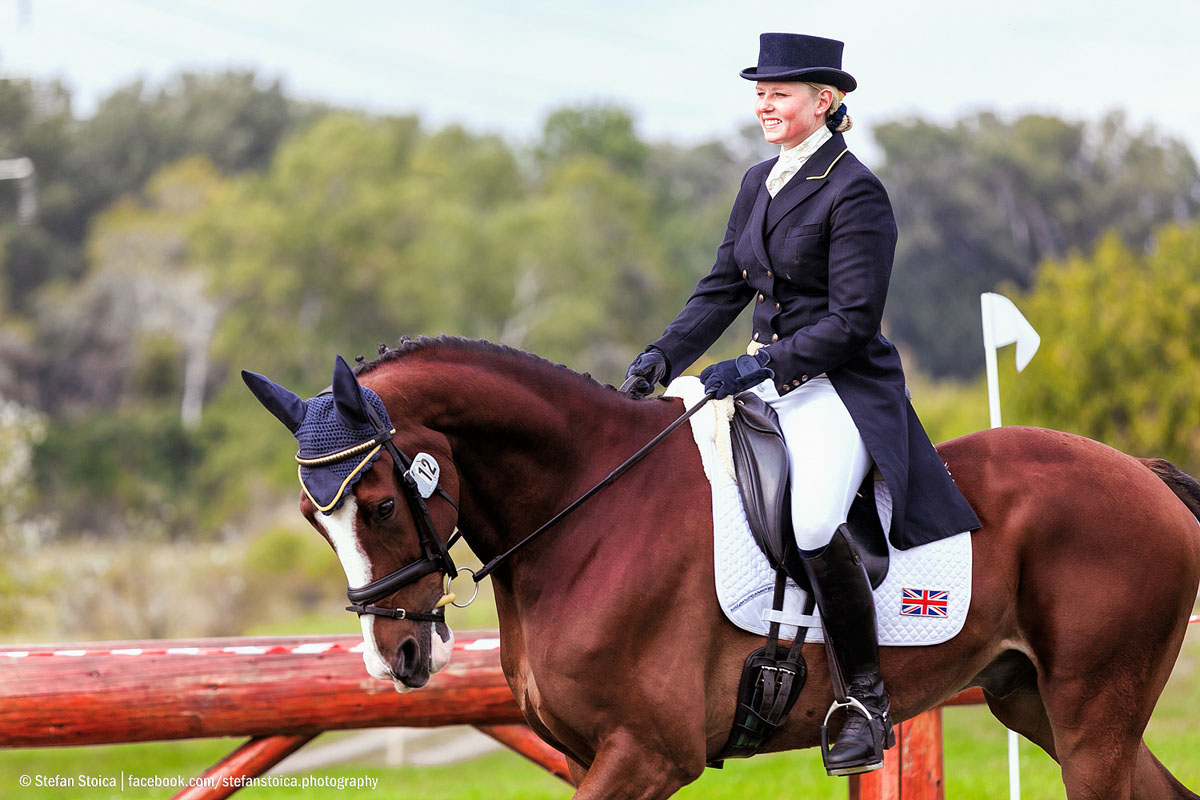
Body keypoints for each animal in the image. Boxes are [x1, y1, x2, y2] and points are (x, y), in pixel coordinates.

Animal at [246, 335, 1200, 800]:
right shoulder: (598, 755)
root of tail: (1141, 473)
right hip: (1033, 702)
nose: (397, 658)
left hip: (1091, 722)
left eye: (376, 504)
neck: (588, 510)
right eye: (312, 517)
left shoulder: (647, 755)